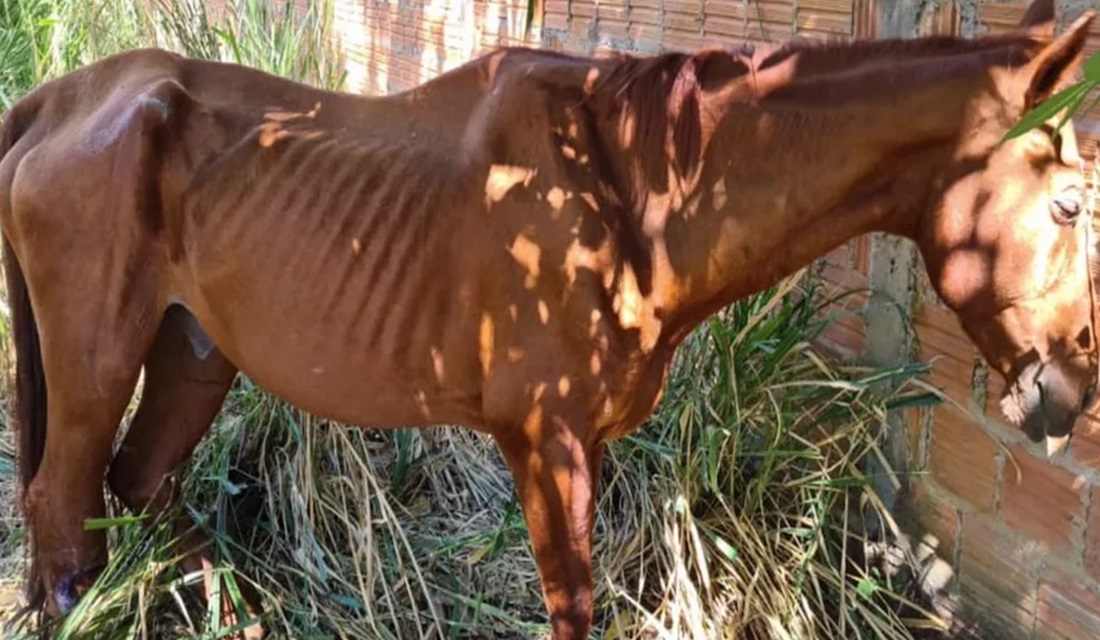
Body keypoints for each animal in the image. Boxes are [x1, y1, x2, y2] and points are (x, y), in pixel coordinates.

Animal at [1, 0, 1097, 637]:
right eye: (1068, 205)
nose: (1071, 390)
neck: (628, 195)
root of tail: (59, 103)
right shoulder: (547, 443)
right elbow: (574, 608)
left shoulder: (585, 444)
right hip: (98, 364)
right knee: (60, 510)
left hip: (193, 353)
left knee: (135, 491)